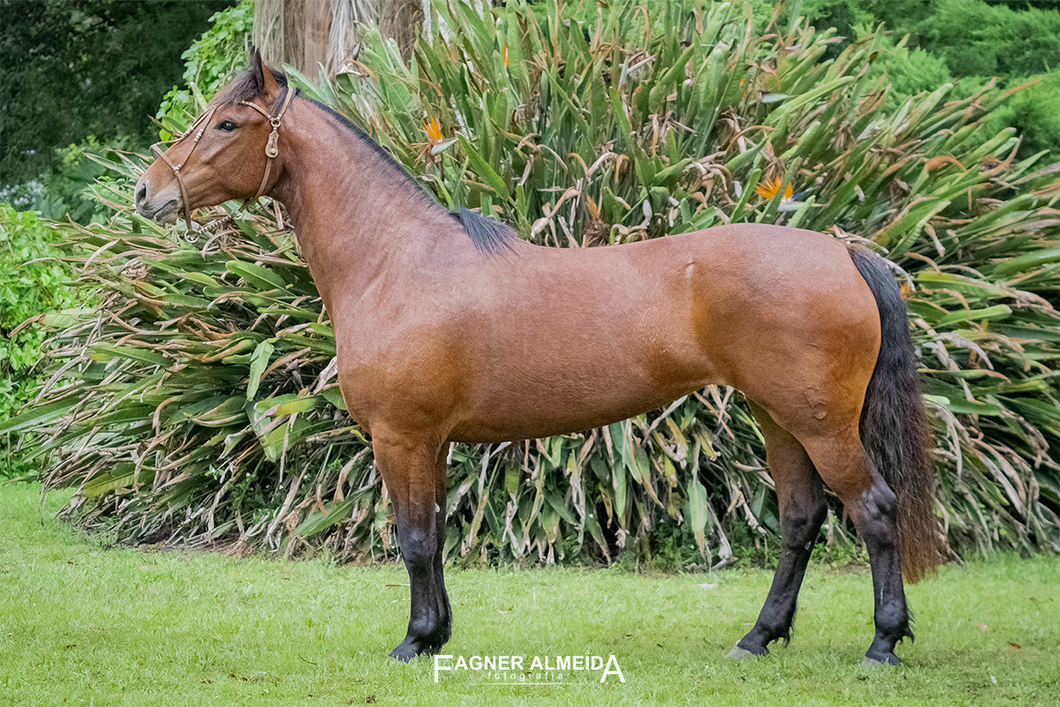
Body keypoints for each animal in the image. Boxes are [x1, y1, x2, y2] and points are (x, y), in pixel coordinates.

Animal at [136, 54, 941, 665]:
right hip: (779, 417)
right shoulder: (432, 442)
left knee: (873, 510)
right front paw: (437, 636)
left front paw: (414, 642)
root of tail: (843, 252)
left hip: (821, 423)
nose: (149, 190)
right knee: (801, 519)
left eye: (229, 122)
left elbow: (414, 539)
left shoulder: (402, 436)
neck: (397, 261)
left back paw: (882, 643)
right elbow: (434, 534)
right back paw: (758, 637)